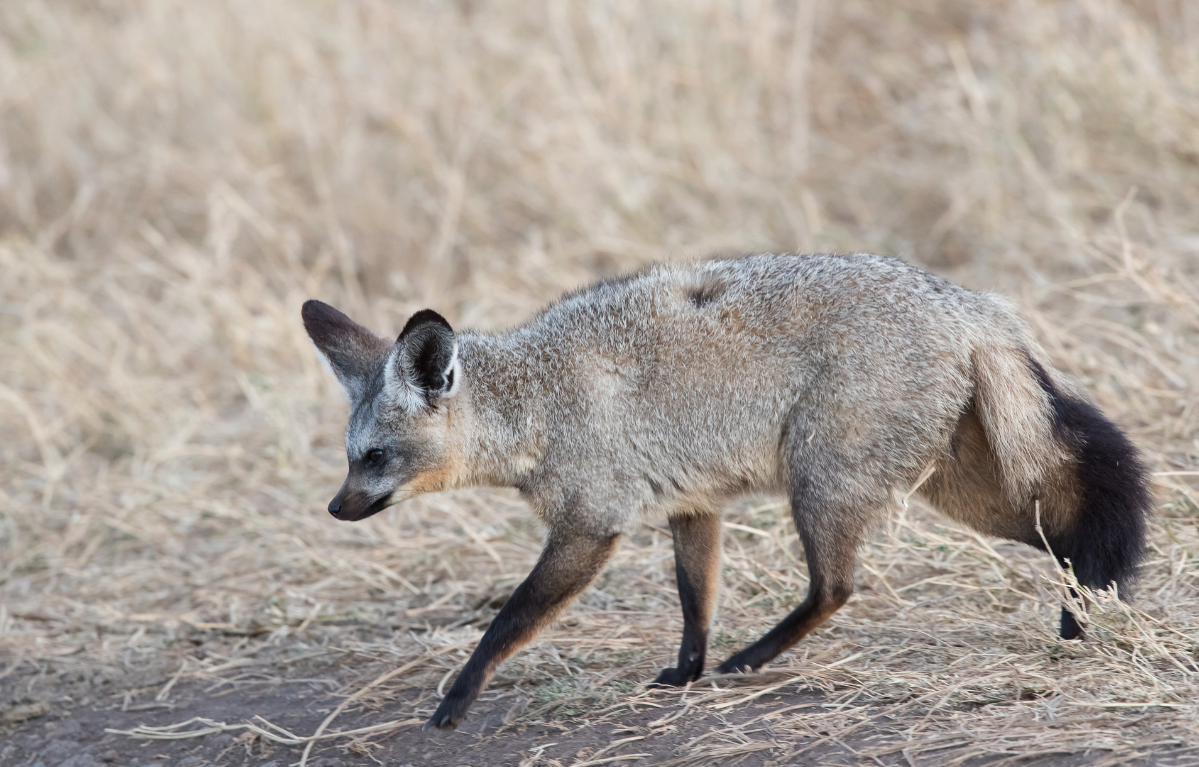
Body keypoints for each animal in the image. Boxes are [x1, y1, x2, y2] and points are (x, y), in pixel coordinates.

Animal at [302, 252, 1151, 728]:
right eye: (348, 459)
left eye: (373, 457)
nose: (334, 508)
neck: (534, 398)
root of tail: (969, 306)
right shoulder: (691, 504)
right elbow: (695, 601)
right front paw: (686, 672)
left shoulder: (590, 526)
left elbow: (507, 621)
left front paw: (457, 696)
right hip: (957, 487)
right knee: (1062, 528)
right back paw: (1081, 612)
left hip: (826, 484)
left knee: (835, 586)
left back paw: (755, 657)